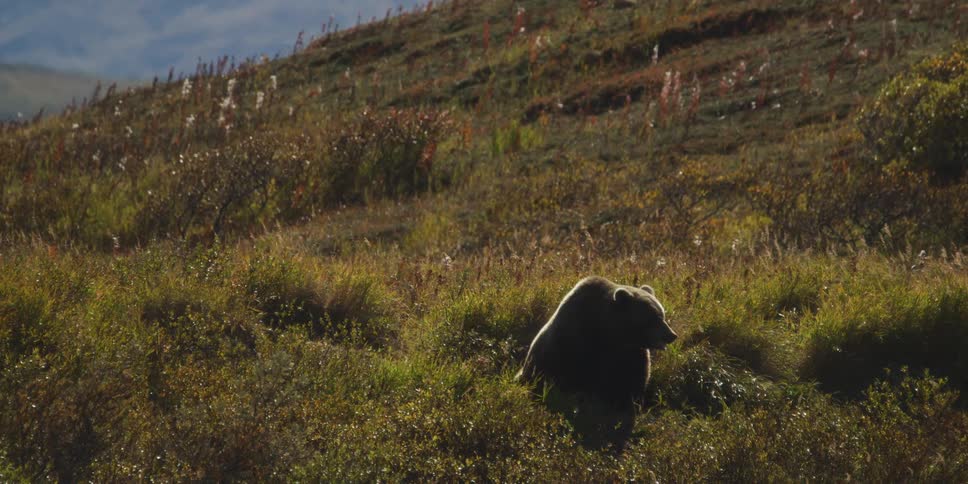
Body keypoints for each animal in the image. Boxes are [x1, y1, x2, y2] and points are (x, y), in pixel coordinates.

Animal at [516, 276, 677, 409]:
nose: (671, 335)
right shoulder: (575, 343)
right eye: (653, 318)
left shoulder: (632, 354)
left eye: (662, 315)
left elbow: (633, 379)